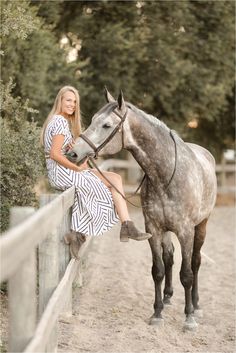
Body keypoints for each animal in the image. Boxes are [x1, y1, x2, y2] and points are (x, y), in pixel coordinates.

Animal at [67, 88, 218, 330]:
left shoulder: (185, 231)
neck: (166, 175)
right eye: (92, 120)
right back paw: (167, 297)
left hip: (201, 226)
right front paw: (157, 313)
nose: (73, 153)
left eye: (106, 125)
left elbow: (186, 274)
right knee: (169, 258)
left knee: (195, 263)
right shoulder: (153, 228)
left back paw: (196, 305)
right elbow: (157, 270)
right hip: (166, 231)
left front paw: (189, 318)